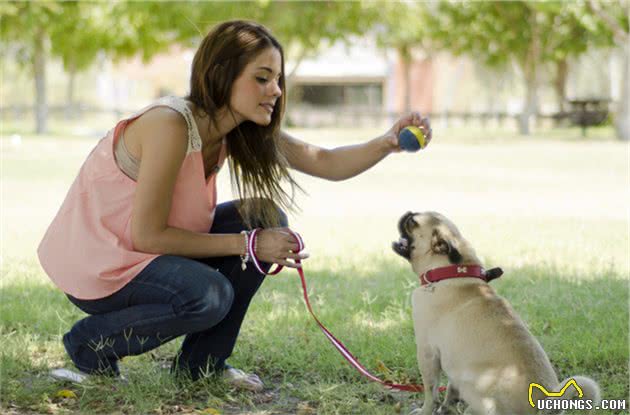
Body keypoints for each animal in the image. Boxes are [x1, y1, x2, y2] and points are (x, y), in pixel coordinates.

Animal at [392, 213, 604, 414]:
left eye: (411, 222)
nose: (406, 213)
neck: (448, 272)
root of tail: (545, 405)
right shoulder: (454, 363)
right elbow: (450, 391)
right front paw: (445, 409)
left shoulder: (427, 353)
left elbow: (431, 391)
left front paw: (426, 410)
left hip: (473, 386)